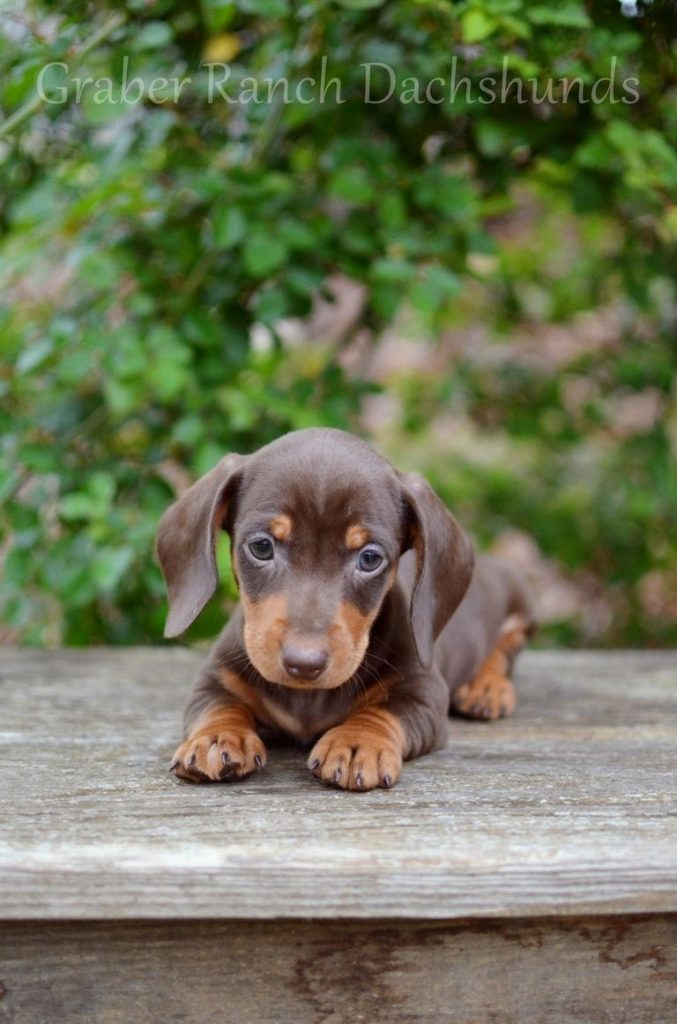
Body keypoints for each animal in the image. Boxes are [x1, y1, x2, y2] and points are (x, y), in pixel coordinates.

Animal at [156, 423, 532, 790]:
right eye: (262, 546)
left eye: (370, 558)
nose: (304, 663)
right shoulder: (214, 679)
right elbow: (218, 706)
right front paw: (217, 737)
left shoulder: (424, 693)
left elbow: (383, 711)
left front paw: (357, 742)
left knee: (504, 650)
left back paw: (487, 688)